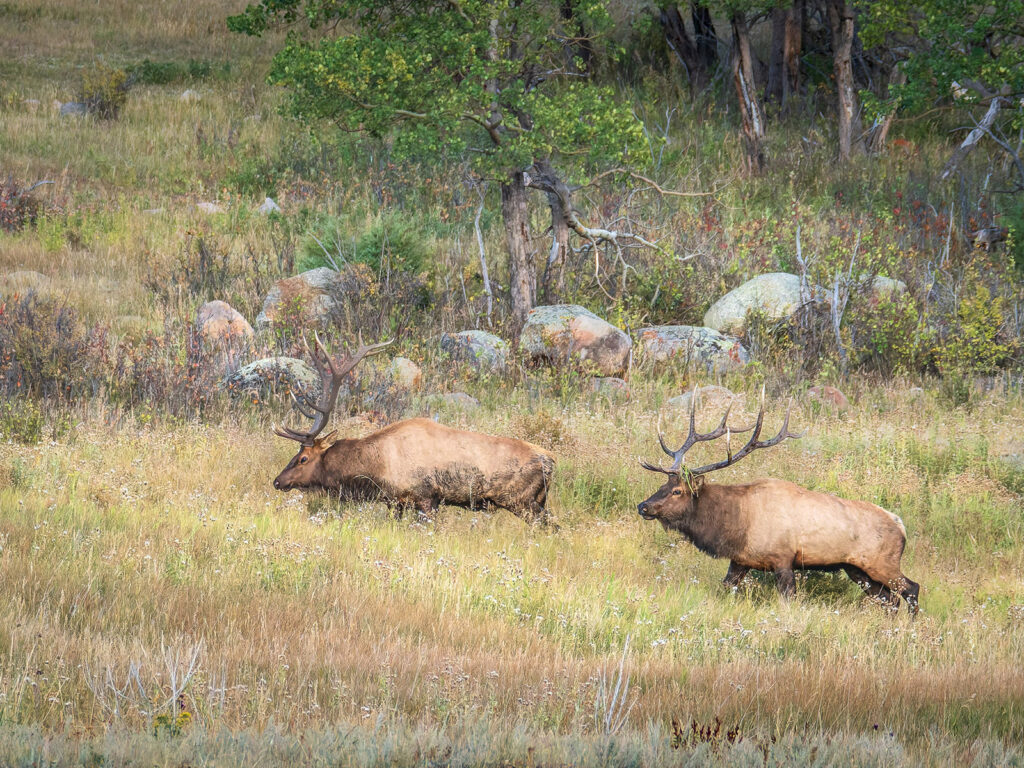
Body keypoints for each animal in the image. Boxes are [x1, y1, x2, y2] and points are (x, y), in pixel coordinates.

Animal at [271, 334, 556, 524]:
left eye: (303, 458)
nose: (277, 481)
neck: (376, 469)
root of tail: (552, 461)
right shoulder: (396, 502)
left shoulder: (425, 498)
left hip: (524, 502)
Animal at [636, 389, 919, 614]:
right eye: (663, 485)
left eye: (678, 491)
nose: (643, 506)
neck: (737, 525)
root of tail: (901, 525)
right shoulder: (741, 560)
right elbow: (725, 588)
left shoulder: (783, 559)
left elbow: (788, 599)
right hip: (857, 569)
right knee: (890, 600)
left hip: (883, 563)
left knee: (911, 589)